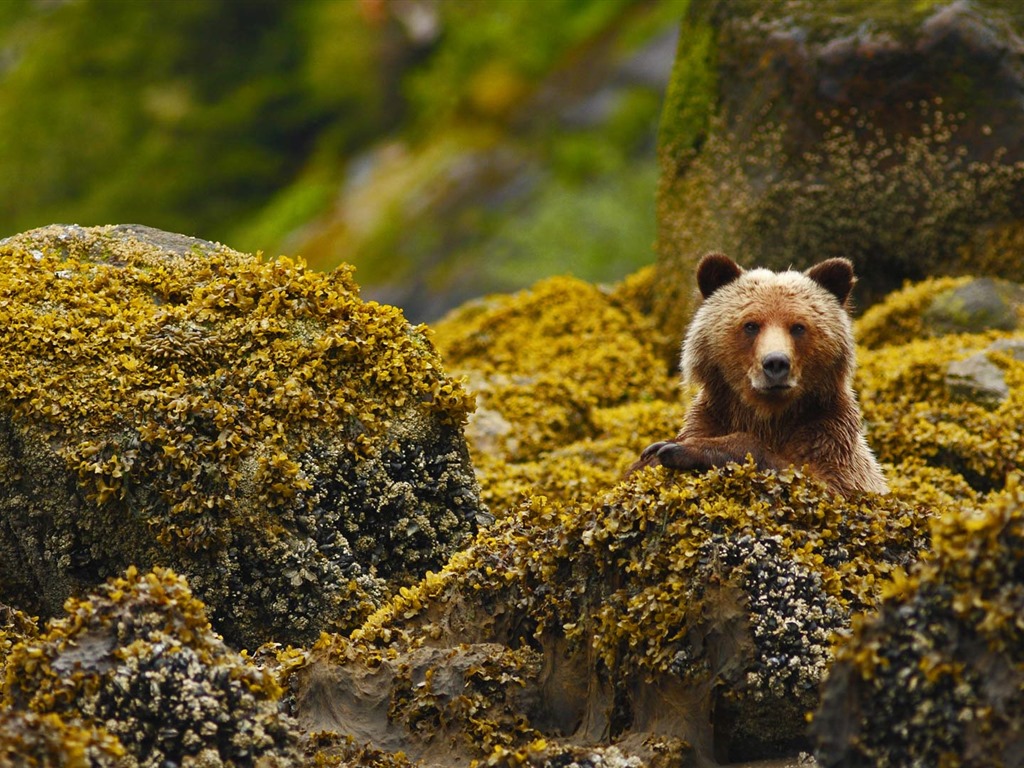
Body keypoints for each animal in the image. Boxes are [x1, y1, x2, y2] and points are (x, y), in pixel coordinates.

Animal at [638, 249, 888, 495]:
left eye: (798, 326)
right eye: (751, 325)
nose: (776, 362)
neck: (768, 416)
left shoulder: (830, 437)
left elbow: (820, 482)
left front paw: (677, 448)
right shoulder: (712, 416)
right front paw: (654, 451)